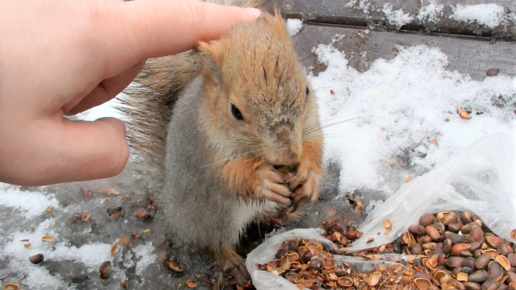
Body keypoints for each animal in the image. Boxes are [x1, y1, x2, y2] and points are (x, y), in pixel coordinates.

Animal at [119, 1, 324, 288]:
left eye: (306, 91)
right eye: (235, 111)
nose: (288, 156)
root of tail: (170, 208)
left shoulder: (312, 123)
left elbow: (315, 144)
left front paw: (309, 175)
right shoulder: (206, 150)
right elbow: (230, 175)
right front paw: (263, 180)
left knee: (260, 216)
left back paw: (280, 215)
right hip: (214, 218)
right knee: (216, 244)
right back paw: (232, 264)